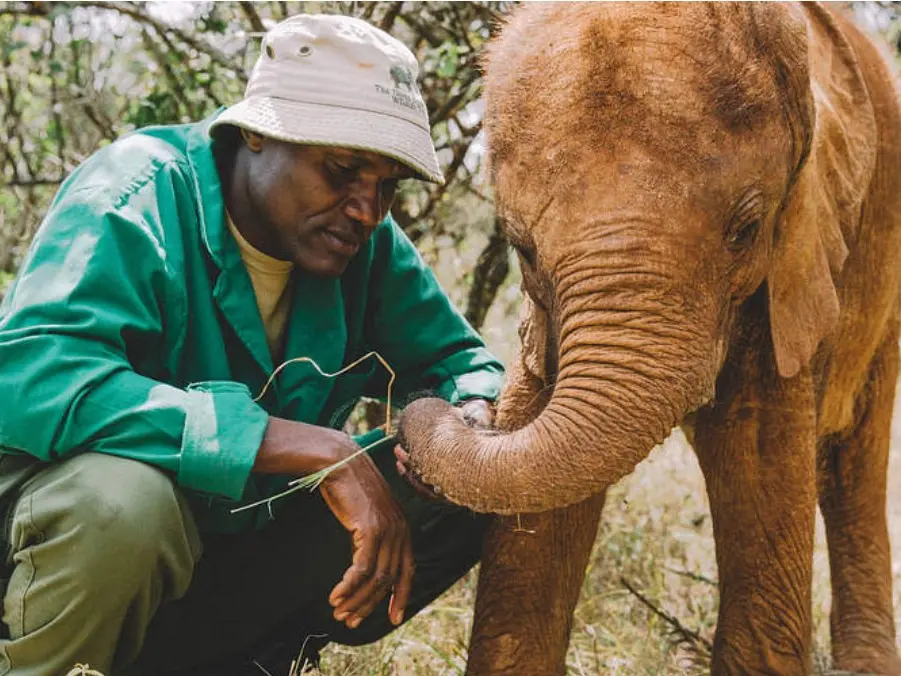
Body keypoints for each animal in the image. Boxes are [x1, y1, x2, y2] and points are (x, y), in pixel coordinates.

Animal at [398, 3, 901, 674]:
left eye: (746, 230)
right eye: (521, 248)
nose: (429, 410)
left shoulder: (799, 258)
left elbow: (759, 463)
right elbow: (538, 504)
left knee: (854, 458)